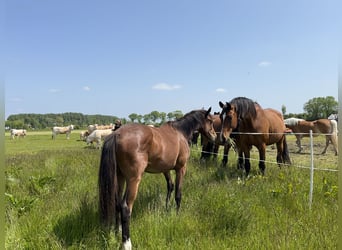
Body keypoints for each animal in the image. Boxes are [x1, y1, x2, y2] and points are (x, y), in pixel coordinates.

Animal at [98, 108, 216, 250]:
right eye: (210, 121)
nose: (214, 136)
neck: (180, 132)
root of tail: (117, 134)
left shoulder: (166, 169)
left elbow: (170, 186)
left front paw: (166, 208)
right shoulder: (181, 169)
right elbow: (178, 194)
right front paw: (177, 214)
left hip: (120, 177)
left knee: (117, 203)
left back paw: (117, 232)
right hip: (133, 180)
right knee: (125, 207)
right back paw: (126, 243)